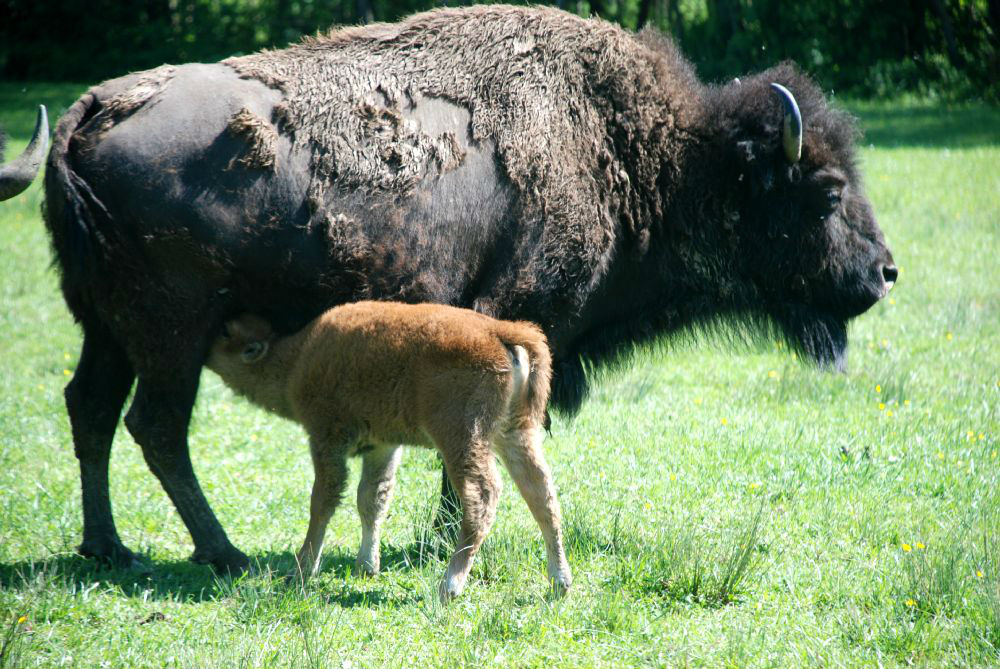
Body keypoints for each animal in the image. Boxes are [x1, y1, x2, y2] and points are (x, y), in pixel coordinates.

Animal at [205, 300, 572, 596]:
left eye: (225, 333)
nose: (204, 351)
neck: (296, 357)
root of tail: (499, 331)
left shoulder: (326, 438)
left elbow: (323, 500)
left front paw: (302, 570)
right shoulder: (382, 445)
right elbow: (372, 498)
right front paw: (367, 567)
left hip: (463, 436)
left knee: (483, 495)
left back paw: (450, 586)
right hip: (514, 433)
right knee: (542, 495)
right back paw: (560, 581)